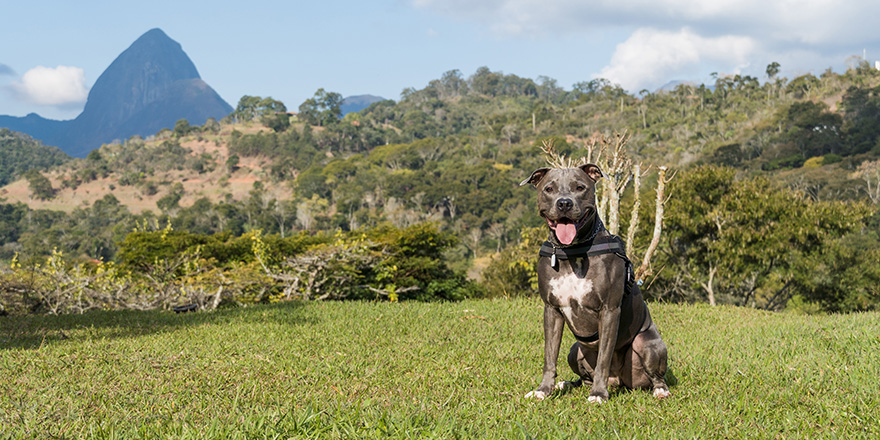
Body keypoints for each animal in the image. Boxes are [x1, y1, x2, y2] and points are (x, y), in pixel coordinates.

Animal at [520, 164, 672, 402]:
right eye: (549, 188)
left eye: (580, 187)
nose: (564, 203)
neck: (572, 251)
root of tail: (618, 381)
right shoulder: (551, 309)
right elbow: (549, 355)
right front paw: (543, 390)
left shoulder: (609, 310)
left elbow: (603, 358)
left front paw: (599, 394)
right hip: (575, 350)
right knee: (583, 378)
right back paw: (566, 384)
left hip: (647, 345)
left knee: (656, 375)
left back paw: (660, 390)